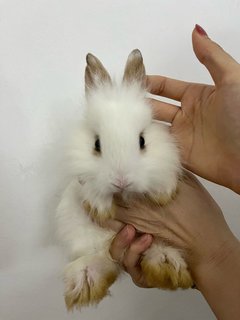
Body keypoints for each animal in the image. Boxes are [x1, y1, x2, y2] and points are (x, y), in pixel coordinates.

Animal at [56, 48, 193, 312]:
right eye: (97, 144)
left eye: (142, 141)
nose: (121, 180)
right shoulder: (81, 180)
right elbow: (90, 190)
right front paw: (101, 209)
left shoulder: (166, 159)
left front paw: (162, 196)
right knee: (103, 260)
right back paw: (86, 281)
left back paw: (166, 267)